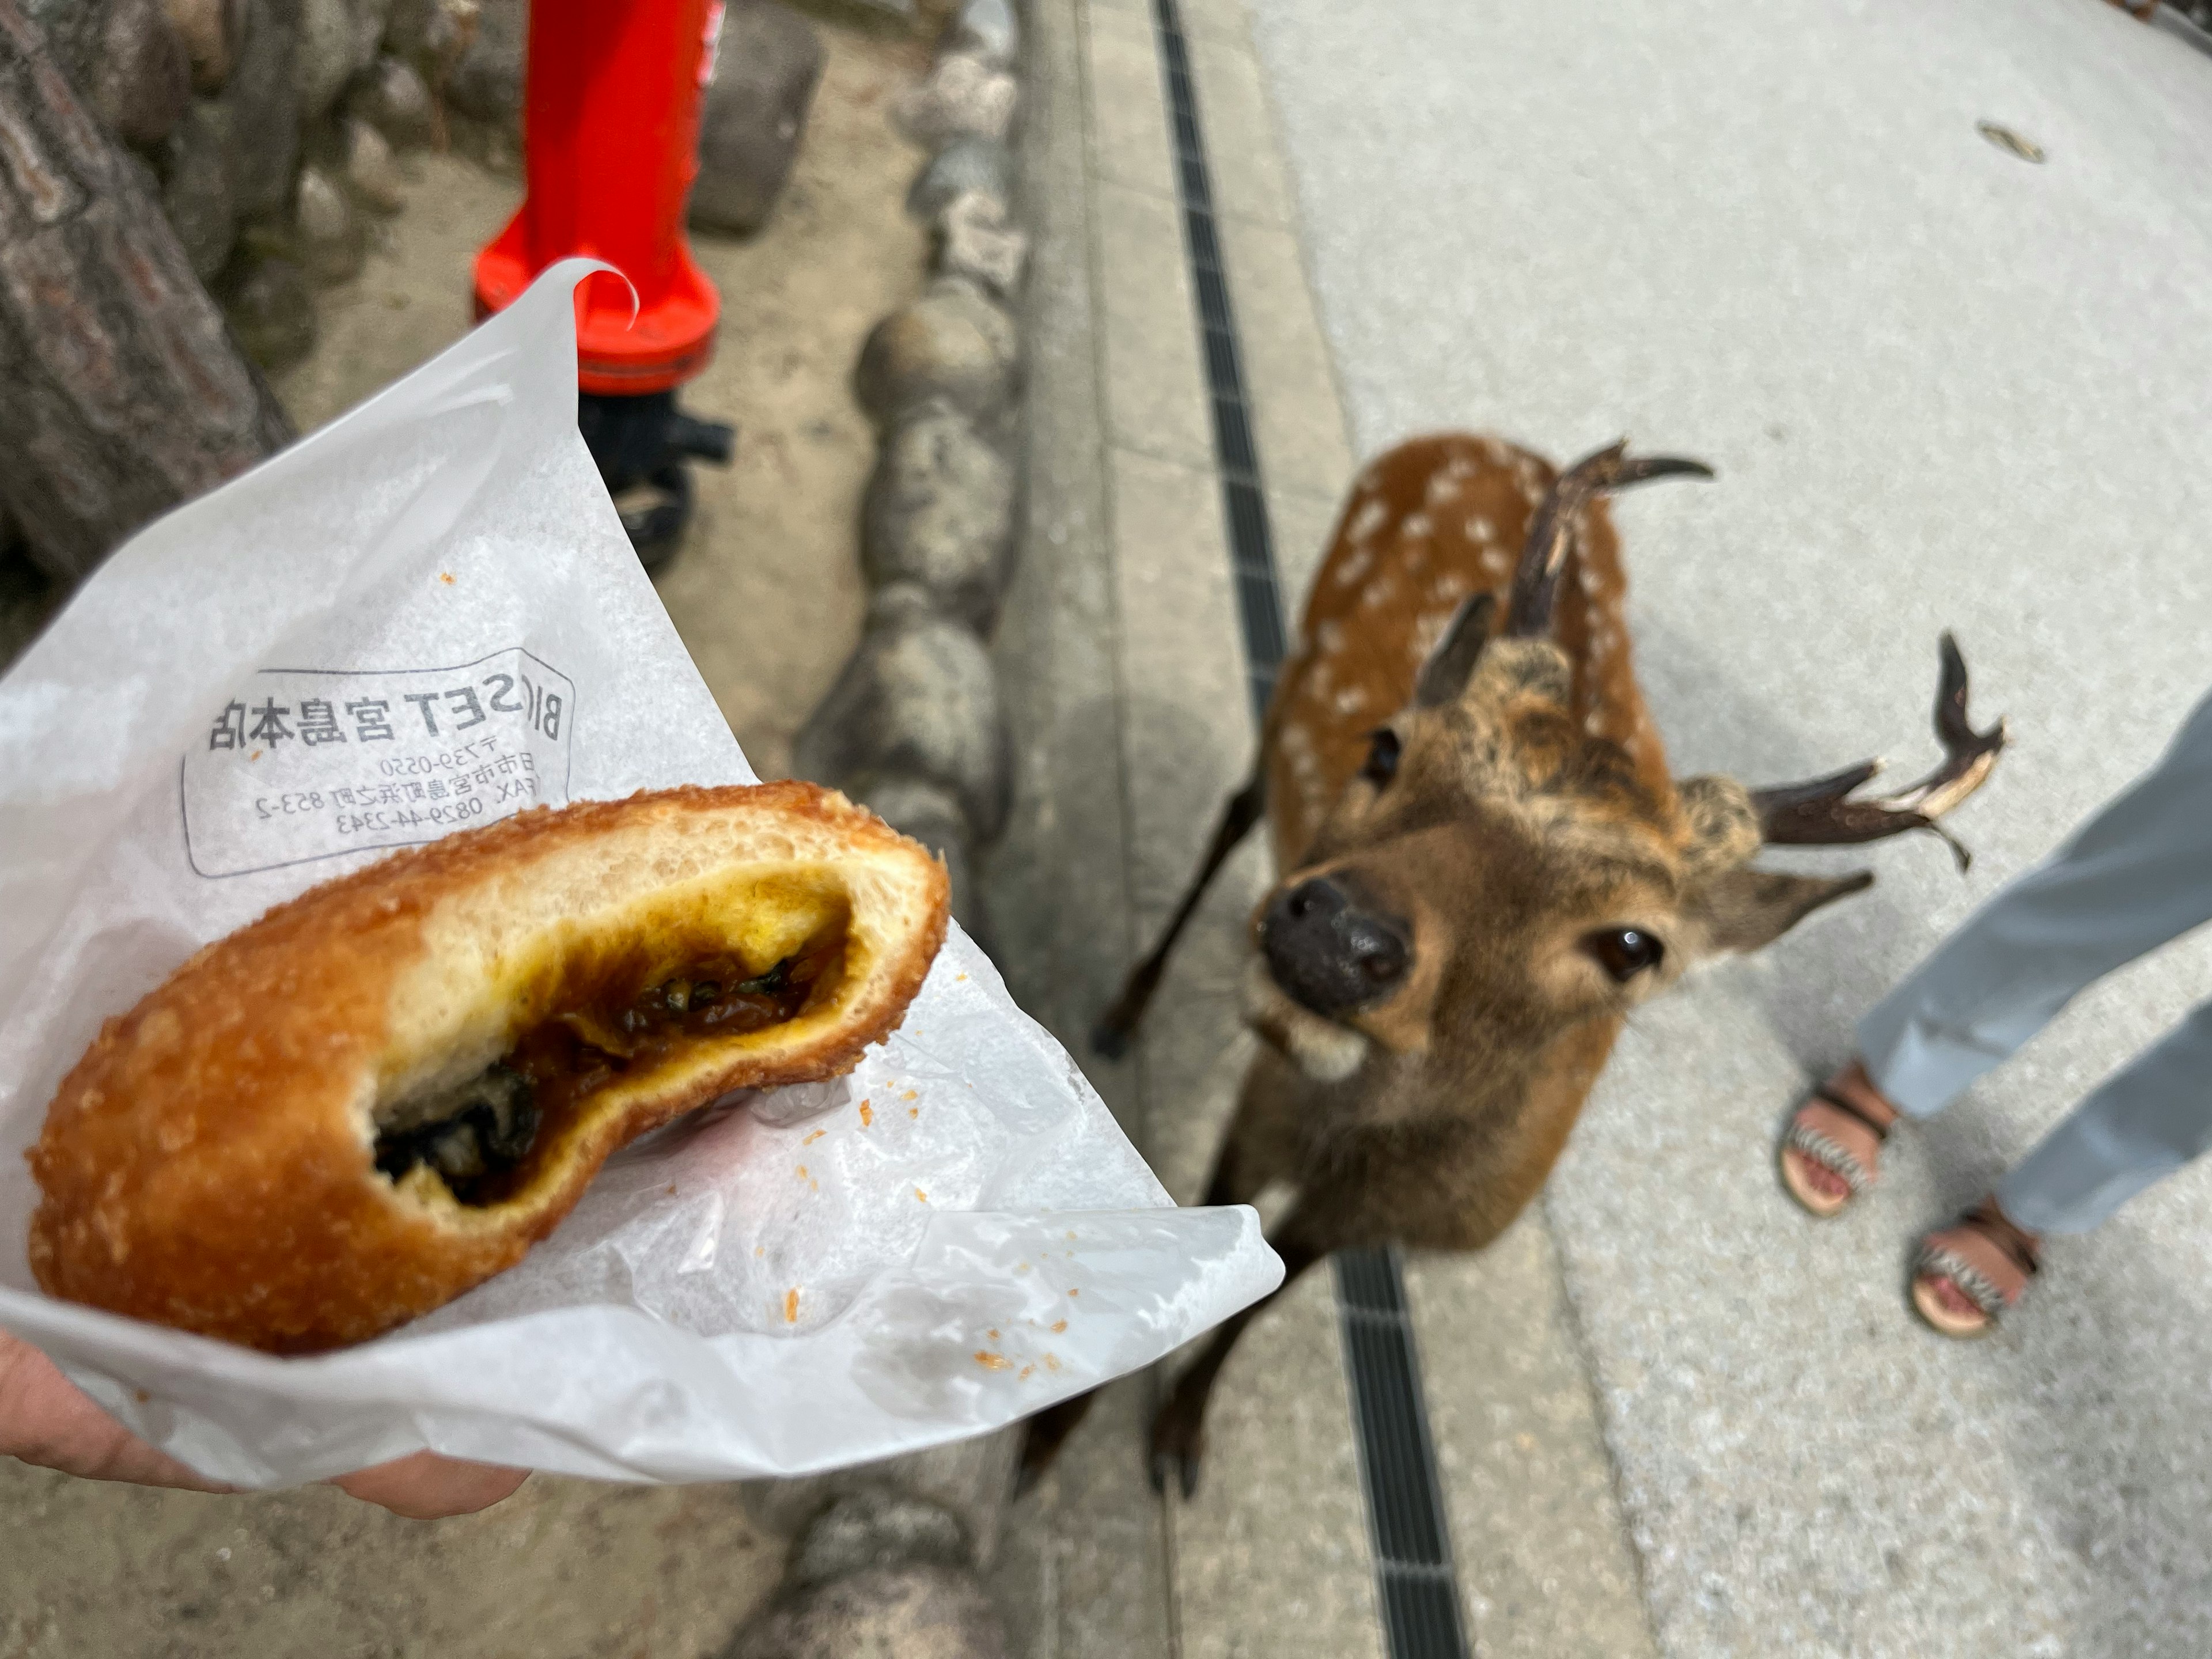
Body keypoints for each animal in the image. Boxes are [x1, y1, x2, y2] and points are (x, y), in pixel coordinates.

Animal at [1017, 435, 2008, 1504]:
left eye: (1632, 944)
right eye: (1386, 747)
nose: (1341, 934)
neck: (1363, 1149)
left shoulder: (1366, 1214)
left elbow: (1260, 1296)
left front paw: (1179, 1433)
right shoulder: (1262, 1102)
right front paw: (1052, 1438)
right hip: (1290, 669)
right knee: (1238, 807)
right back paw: (1124, 1012)